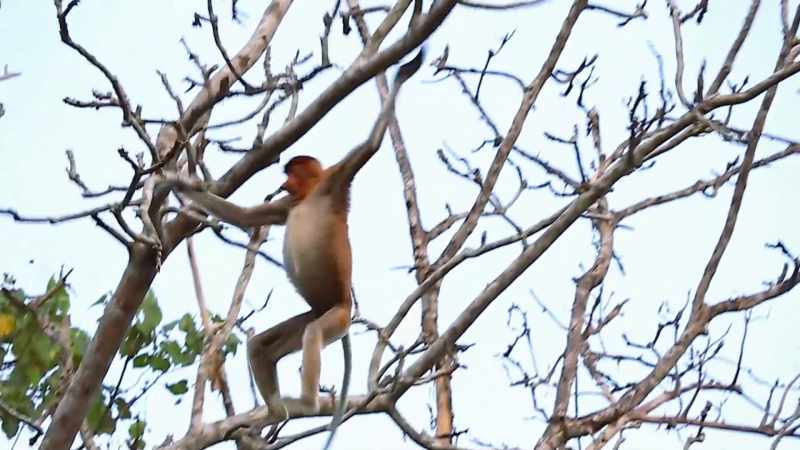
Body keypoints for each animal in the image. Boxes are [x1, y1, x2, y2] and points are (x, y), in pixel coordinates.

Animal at [168, 49, 424, 449]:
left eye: (292, 172)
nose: (284, 182)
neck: (310, 195)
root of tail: (340, 306)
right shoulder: (286, 206)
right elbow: (244, 216)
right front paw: (177, 182)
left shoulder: (335, 178)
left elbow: (370, 147)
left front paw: (404, 71)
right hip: (312, 312)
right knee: (262, 346)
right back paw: (274, 410)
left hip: (336, 316)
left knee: (313, 334)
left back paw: (304, 403)